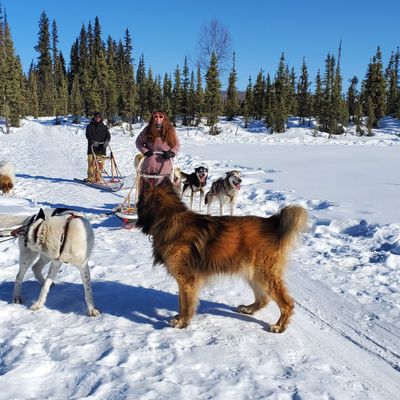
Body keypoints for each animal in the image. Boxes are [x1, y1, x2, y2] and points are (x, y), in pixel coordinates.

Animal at [136, 178, 308, 333]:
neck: (169, 218)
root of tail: (272, 223)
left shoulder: (186, 280)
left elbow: (185, 304)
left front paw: (182, 322)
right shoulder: (184, 280)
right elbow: (181, 302)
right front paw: (179, 318)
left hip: (265, 274)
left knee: (286, 303)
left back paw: (279, 326)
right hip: (253, 273)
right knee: (263, 298)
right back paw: (248, 309)